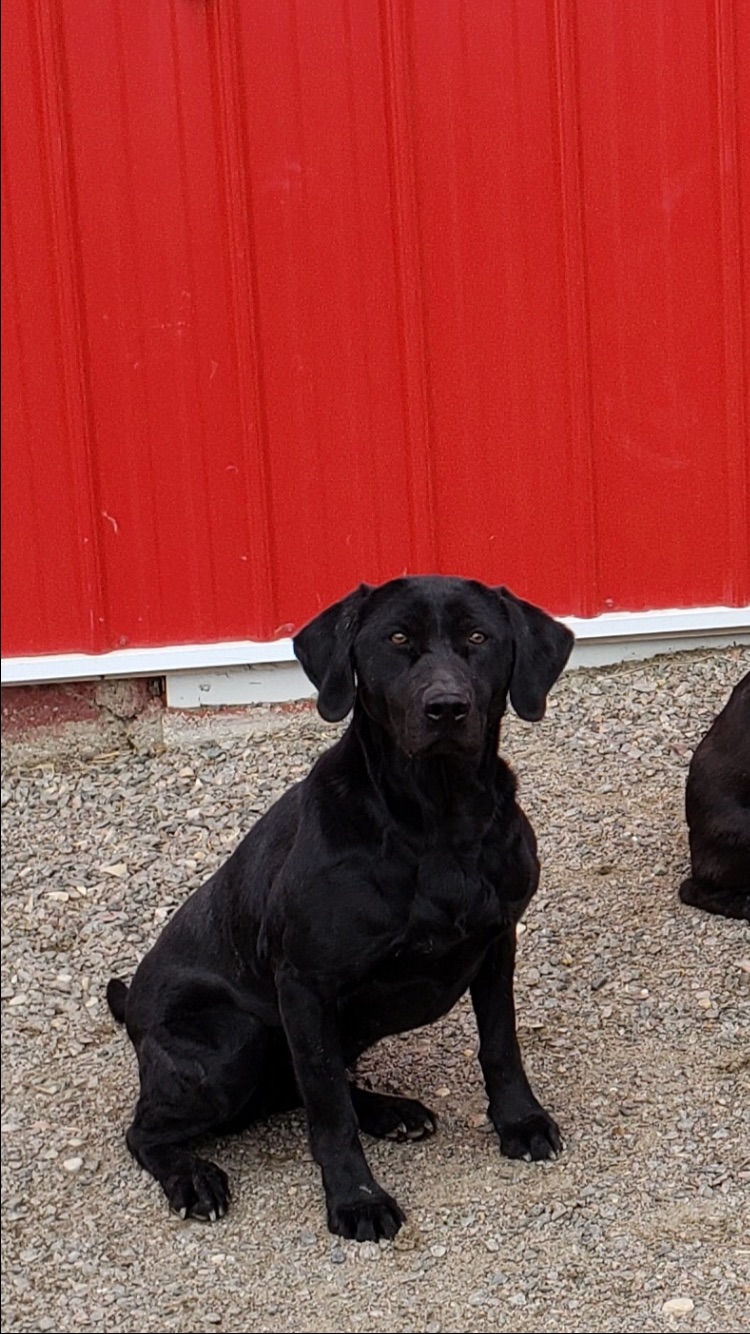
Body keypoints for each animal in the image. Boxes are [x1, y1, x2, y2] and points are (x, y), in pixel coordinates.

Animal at [106, 573, 571, 1237]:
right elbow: (328, 1110)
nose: (447, 707)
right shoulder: (304, 984)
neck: (438, 821)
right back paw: (192, 1178)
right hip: (231, 1041)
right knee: (147, 1131)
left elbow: (501, 1044)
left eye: (479, 638)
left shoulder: (496, 943)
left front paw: (520, 1122)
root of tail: (132, 1012)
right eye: (397, 639)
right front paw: (355, 1198)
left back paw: (389, 1110)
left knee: (297, 1089)